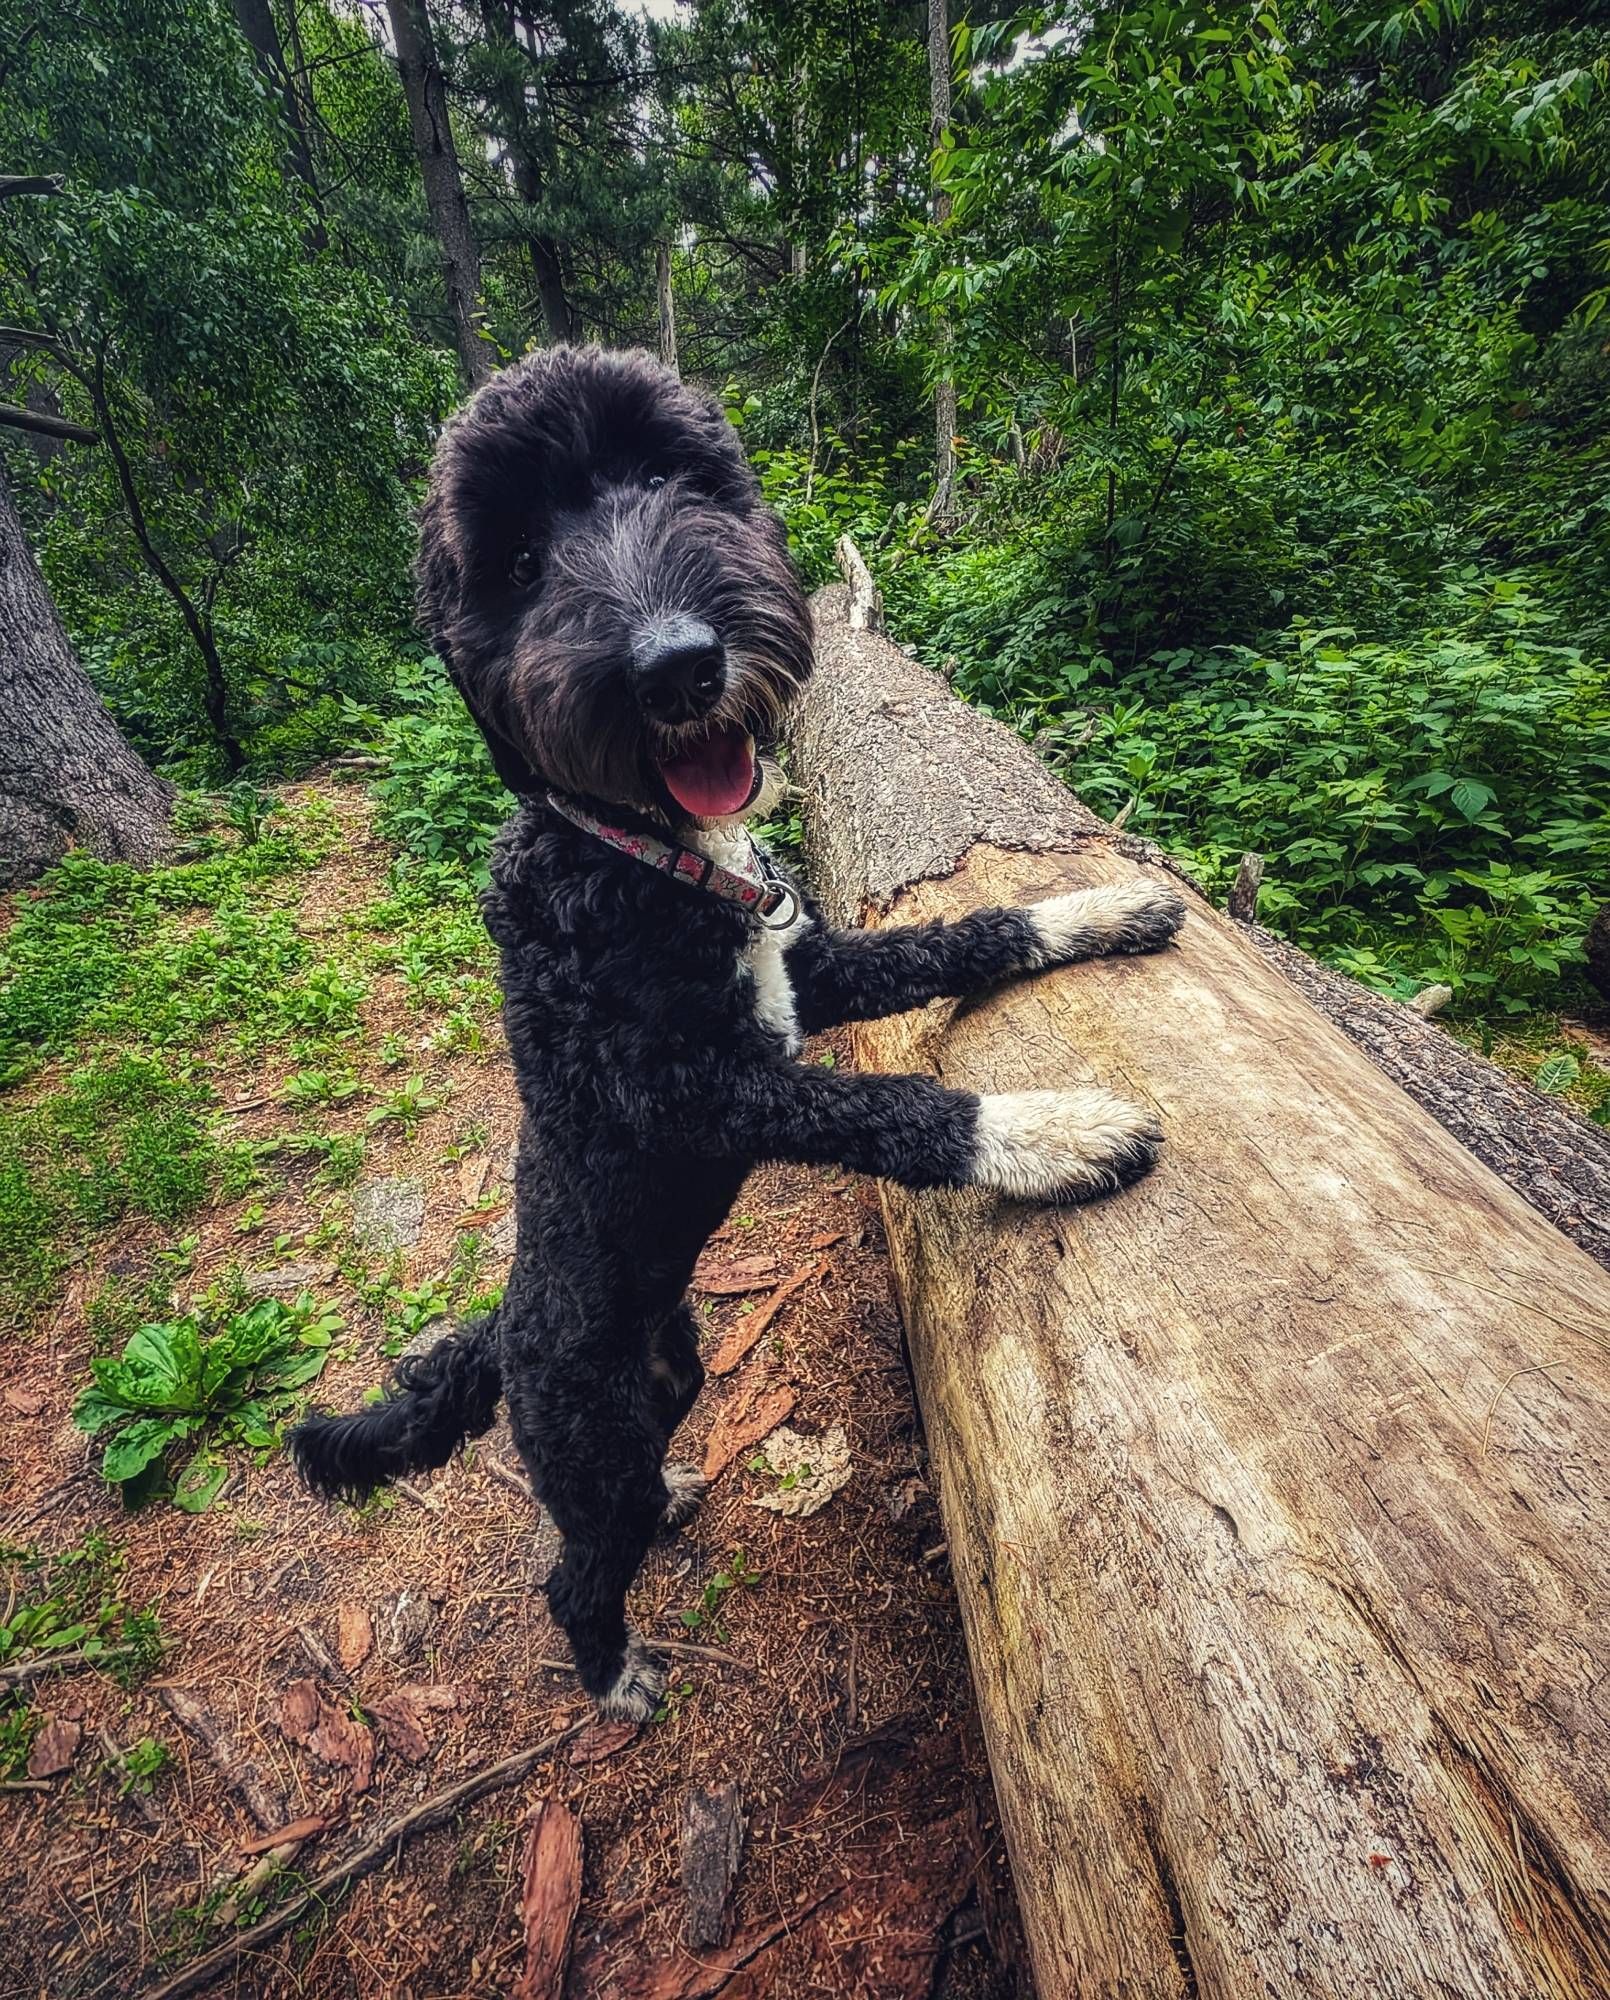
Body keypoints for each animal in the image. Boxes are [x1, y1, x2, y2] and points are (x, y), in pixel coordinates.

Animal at [296, 344, 1184, 1720]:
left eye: (673, 476)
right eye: (518, 563)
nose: (676, 664)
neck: (636, 858)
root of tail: (501, 1335)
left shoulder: (797, 972)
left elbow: (957, 934)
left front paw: (1090, 907)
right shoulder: (692, 1088)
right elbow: (891, 1108)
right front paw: (1051, 1131)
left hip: (677, 1367)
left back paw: (673, 1498)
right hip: (590, 1443)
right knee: (571, 1572)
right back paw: (612, 1673)